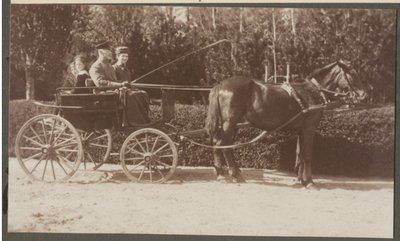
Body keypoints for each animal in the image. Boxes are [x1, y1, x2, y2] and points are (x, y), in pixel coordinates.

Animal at [206, 60, 368, 188]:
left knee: (221, 144)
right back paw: (233, 174)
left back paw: (222, 173)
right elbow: (307, 155)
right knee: (223, 145)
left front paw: (302, 180)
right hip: (229, 122)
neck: (312, 91)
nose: (363, 95)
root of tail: (221, 85)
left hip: (232, 124)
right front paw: (310, 182)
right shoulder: (309, 128)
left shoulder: (302, 130)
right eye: (352, 73)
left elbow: (300, 154)